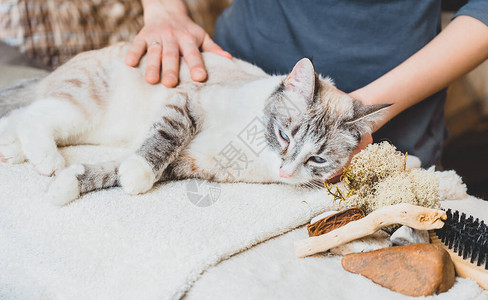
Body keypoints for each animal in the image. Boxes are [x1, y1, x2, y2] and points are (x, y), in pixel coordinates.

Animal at [0, 42, 388, 205]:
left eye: (318, 159)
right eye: (283, 136)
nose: (286, 171)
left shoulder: (187, 165)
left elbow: (109, 171)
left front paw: (64, 188)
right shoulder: (188, 101)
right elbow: (164, 138)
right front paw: (136, 174)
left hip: (88, 125)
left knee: (21, 114)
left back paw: (14, 151)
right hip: (84, 109)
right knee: (33, 113)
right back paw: (45, 159)